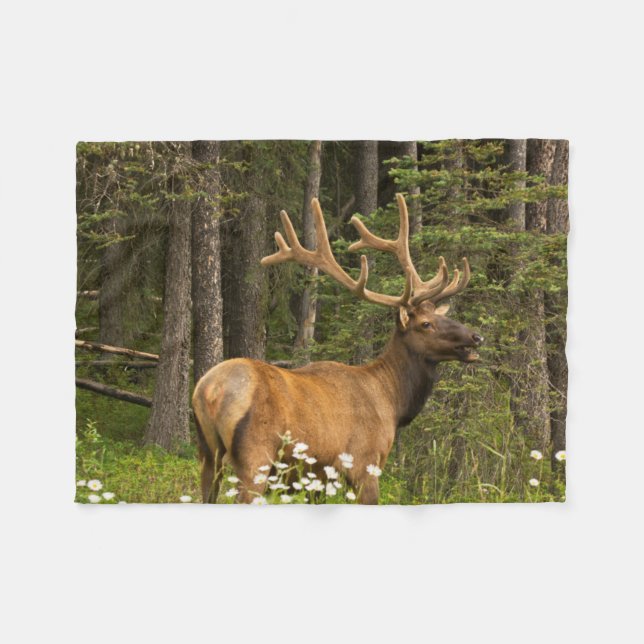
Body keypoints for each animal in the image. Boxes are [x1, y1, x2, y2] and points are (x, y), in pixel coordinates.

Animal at [192, 194, 483, 504]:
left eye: (440, 317)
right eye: (426, 324)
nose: (476, 337)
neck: (392, 401)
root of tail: (209, 391)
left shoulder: (317, 478)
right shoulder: (364, 462)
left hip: (207, 456)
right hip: (255, 457)